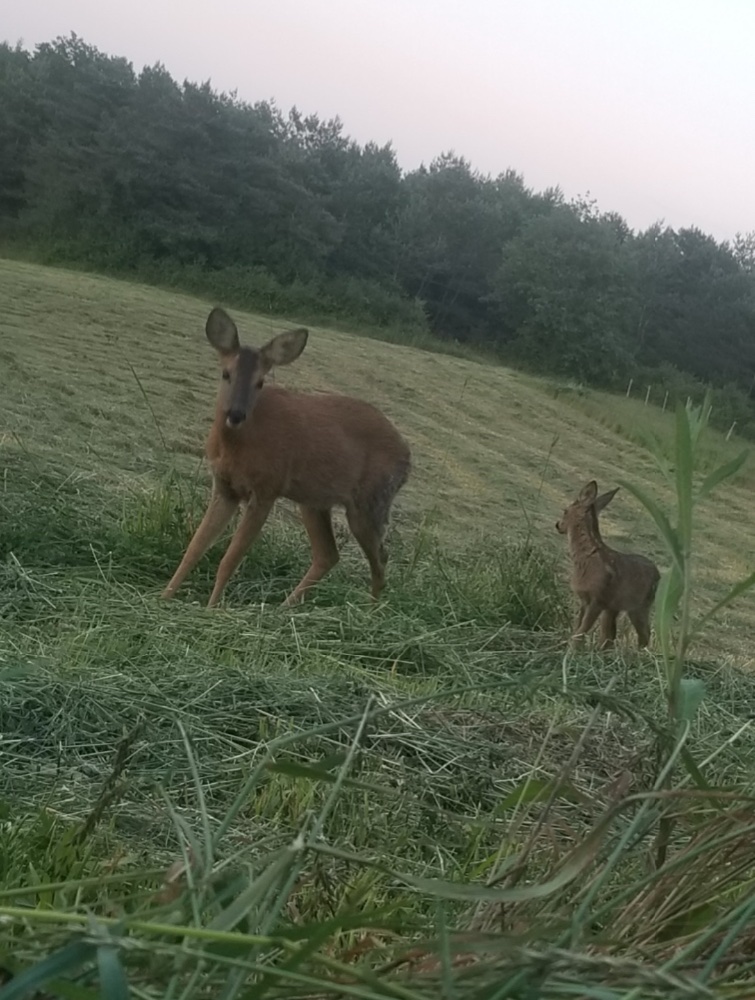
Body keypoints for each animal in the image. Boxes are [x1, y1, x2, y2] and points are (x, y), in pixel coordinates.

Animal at [162, 304, 414, 604]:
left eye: (261, 382)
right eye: (226, 373)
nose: (236, 414)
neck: (237, 446)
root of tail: (408, 457)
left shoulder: (266, 489)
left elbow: (229, 560)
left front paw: (211, 608)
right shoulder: (224, 487)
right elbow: (194, 547)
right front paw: (163, 597)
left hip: (371, 501)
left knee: (381, 558)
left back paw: (368, 610)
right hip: (314, 501)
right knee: (328, 554)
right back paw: (285, 607)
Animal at [560, 482, 660, 648]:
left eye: (565, 511)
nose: (558, 525)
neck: (586, 560)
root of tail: (659, 575)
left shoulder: (598, 599)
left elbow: (580, 632)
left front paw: (571, 652)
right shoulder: (585, 599)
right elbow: (577, 629)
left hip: (639, 606)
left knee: (644, 634)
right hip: (615, 607)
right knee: (609, 636)